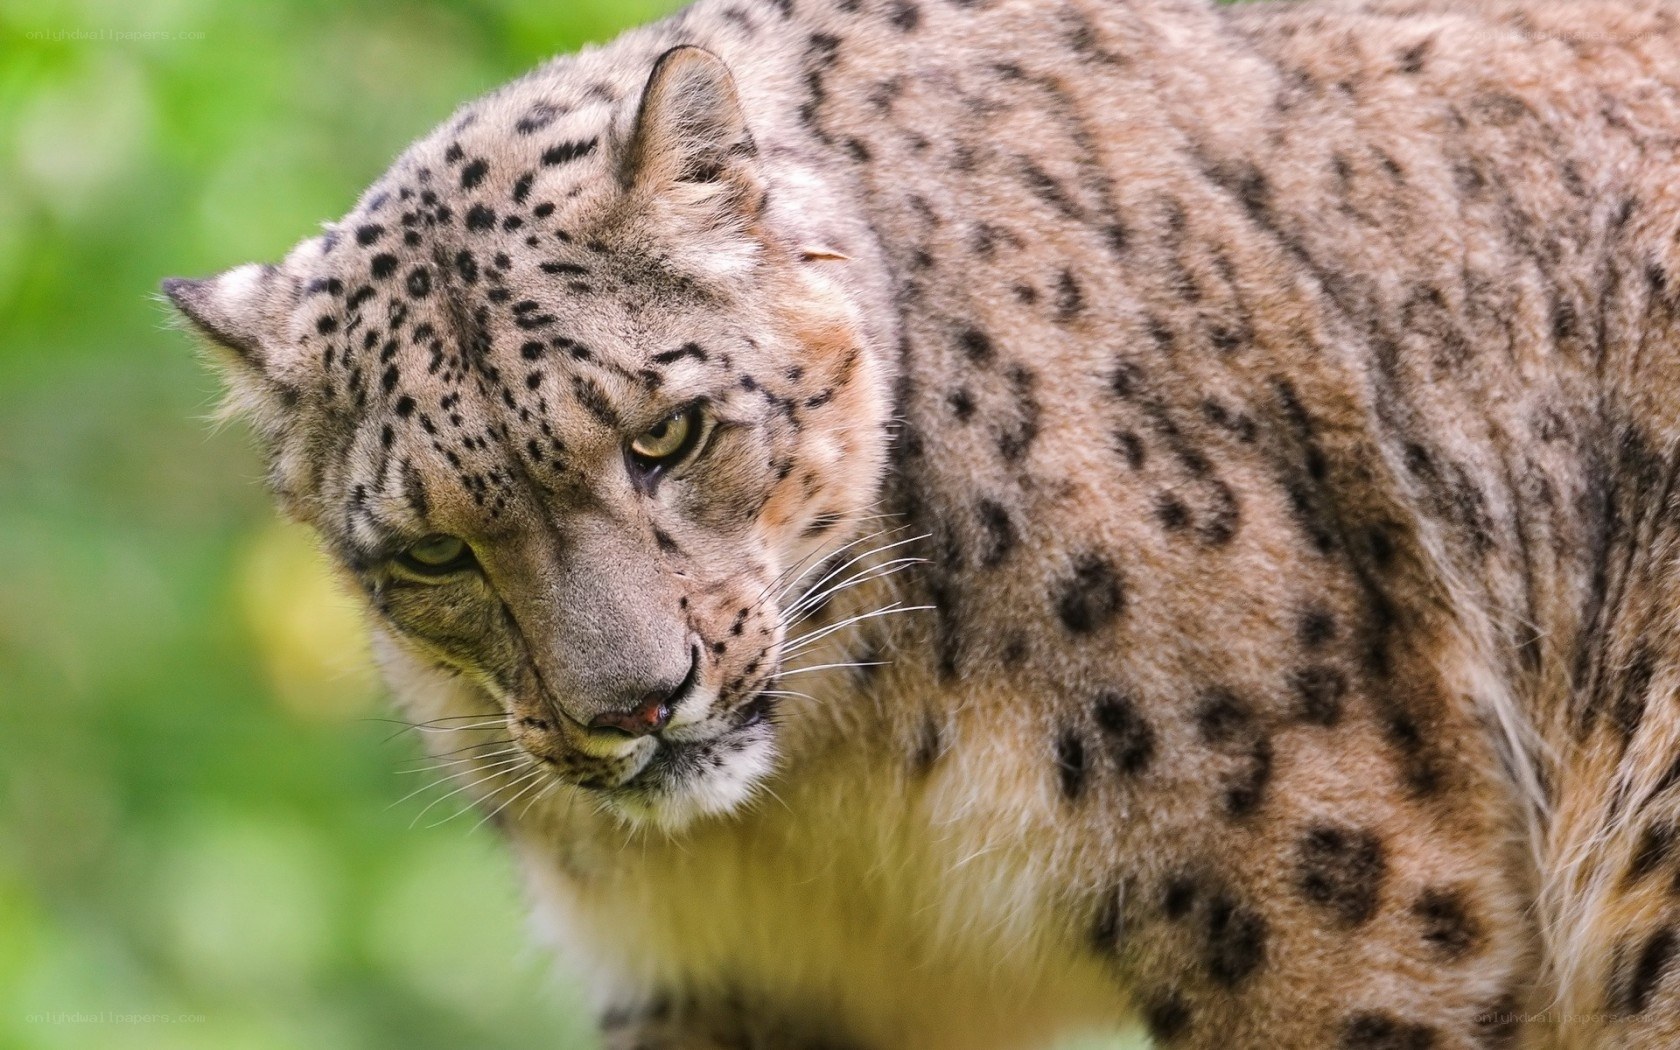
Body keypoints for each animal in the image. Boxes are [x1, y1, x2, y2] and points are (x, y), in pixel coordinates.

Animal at [162, 0, 1680, 1045]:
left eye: (665, 434)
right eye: (434, 549)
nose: (636, 704)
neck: (842, 795)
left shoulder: (1313, 885)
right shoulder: (732, 975)